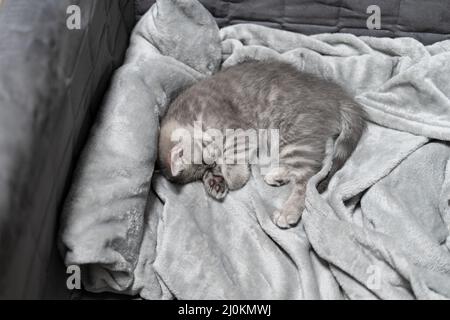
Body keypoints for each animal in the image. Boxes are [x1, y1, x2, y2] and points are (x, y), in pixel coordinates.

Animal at [157, 60, 366, 228]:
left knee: (307, 179)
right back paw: (278, 176)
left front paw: (233, 178)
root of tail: (334, 94)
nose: (214, 165)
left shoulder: (237, 130)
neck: (188, 115)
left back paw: (288, 211)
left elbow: (233, 161)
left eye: (206, 157)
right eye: (206, 167)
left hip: (294, 136)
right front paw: (214, 183)